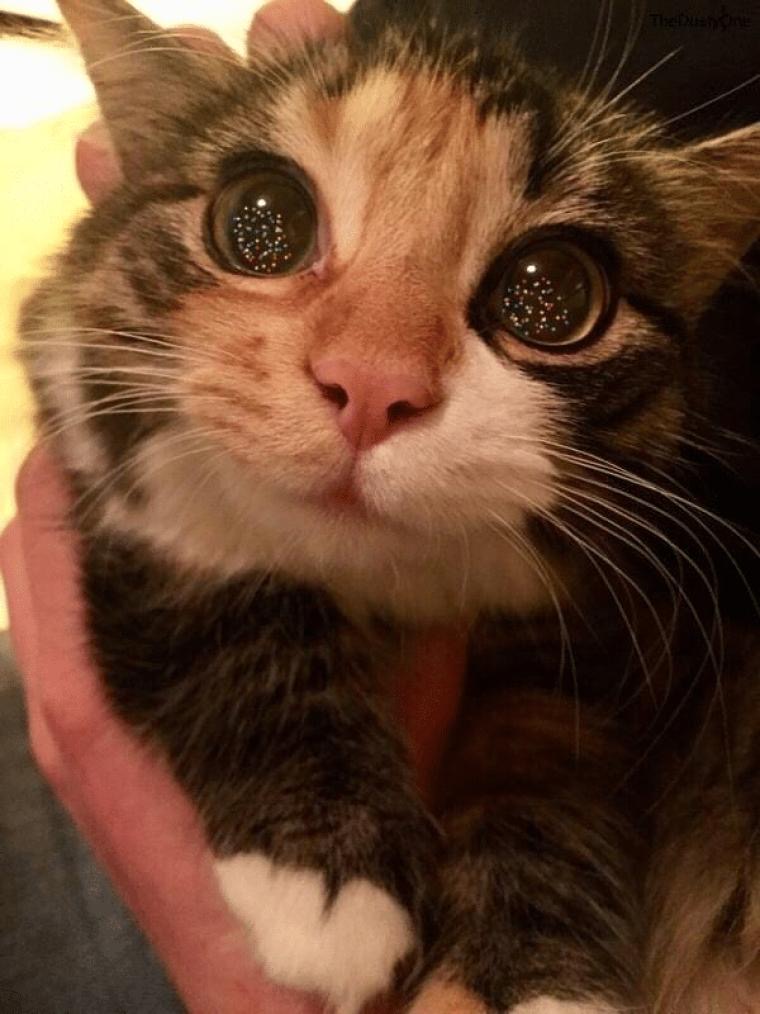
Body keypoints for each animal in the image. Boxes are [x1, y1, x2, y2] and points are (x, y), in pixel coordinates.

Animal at [15, 0, 760, 1010]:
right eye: (260, 222)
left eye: (553, 294)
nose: (372, 384)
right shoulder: (96, 425)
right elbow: (222, 597)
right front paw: (327, 881)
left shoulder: (607, 614)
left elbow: (545, 756)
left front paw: (529, 974)